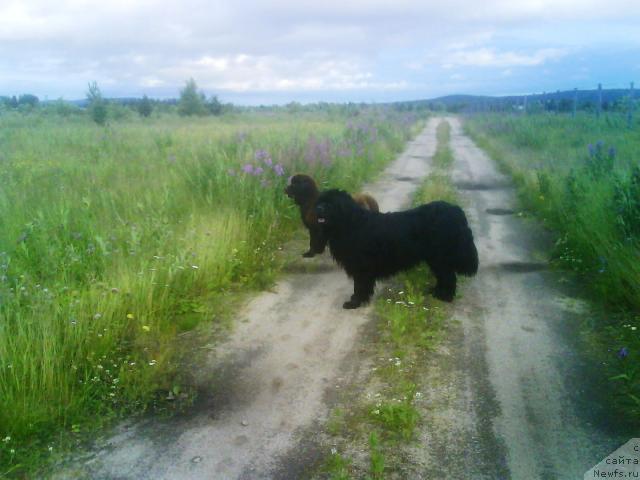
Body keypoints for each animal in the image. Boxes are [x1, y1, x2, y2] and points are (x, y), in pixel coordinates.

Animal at [318, 189, 478, 310]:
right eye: (320, 202)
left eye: (329, 204)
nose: (318, 208)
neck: (350, 223)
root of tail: (455, 210)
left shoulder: (361, 267)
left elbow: (359, 286)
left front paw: (354, 302)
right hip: (435, 258)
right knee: (444, 276)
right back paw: (436, 291)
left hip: (440, 256)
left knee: (449, 277)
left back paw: (445, 297)